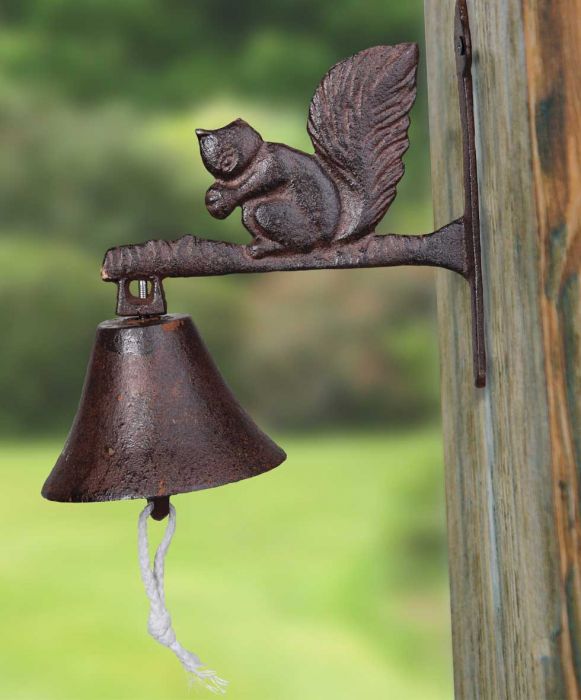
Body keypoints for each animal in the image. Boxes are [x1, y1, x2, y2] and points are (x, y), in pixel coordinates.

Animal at [196, 44, 418, 259]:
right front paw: (216, 194)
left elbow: (262, 180)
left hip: (272, 213)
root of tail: (330, 238)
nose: (200, 132)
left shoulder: (274, 161)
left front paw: (225, 198)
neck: (255, 157)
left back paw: (268, 248)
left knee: (299, 239)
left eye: (224, 158)